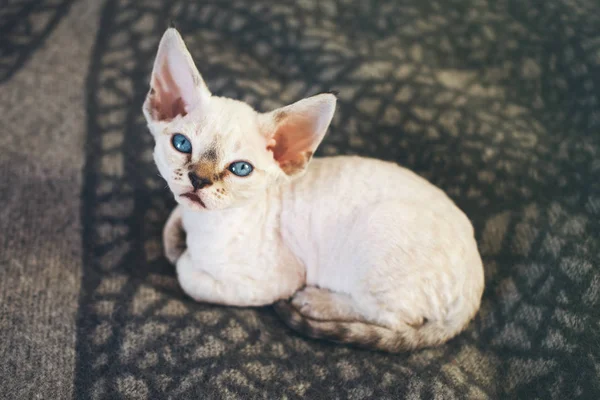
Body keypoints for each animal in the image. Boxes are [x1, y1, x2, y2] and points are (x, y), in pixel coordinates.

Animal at [143, 28, 486, 354]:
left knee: (392, 318)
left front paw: (184, 257)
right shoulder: (183, 210)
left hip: (378, 230)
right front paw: (176, 239)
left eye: (240, 169)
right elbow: (172, 220)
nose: (198, 179)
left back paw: (317, 301)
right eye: (182, 144)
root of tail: (474, 286)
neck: (204, 223)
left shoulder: (277, 279)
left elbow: (187, 275)